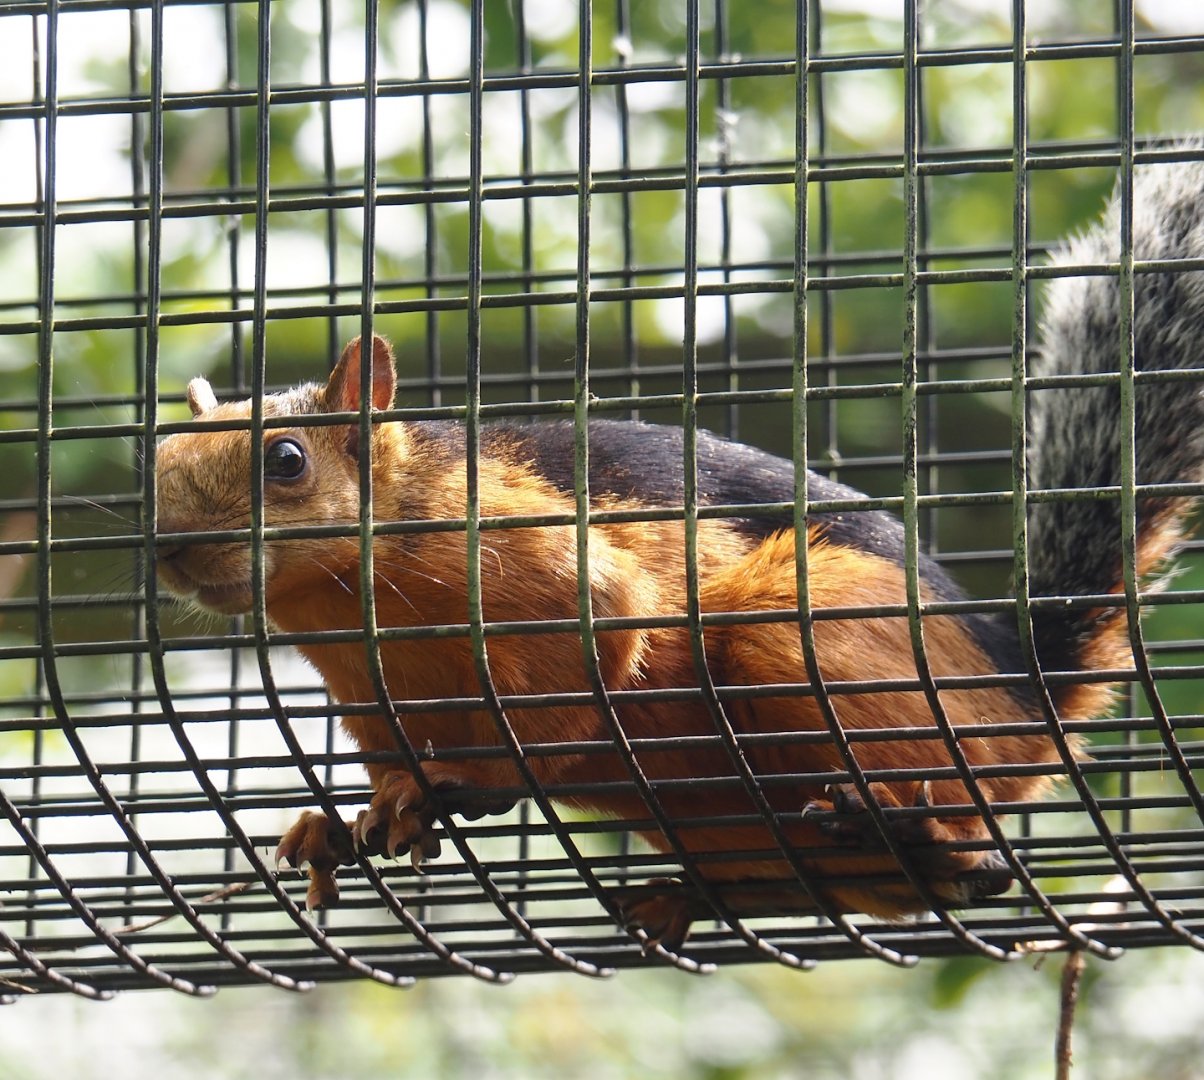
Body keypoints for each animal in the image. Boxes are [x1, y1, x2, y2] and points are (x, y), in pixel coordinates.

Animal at [154, 157, 1204, 950]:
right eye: (156, 458)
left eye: (287, 461)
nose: (167, 550)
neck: (349, 598)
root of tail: (1024, 685)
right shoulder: (373, 702)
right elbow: (387, 774)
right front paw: (343, 826)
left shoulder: (543, 571)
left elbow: (583, 681)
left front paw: (464, 784)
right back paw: (700, 893)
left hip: (804, 637)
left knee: (973, 852)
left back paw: (913, 825)